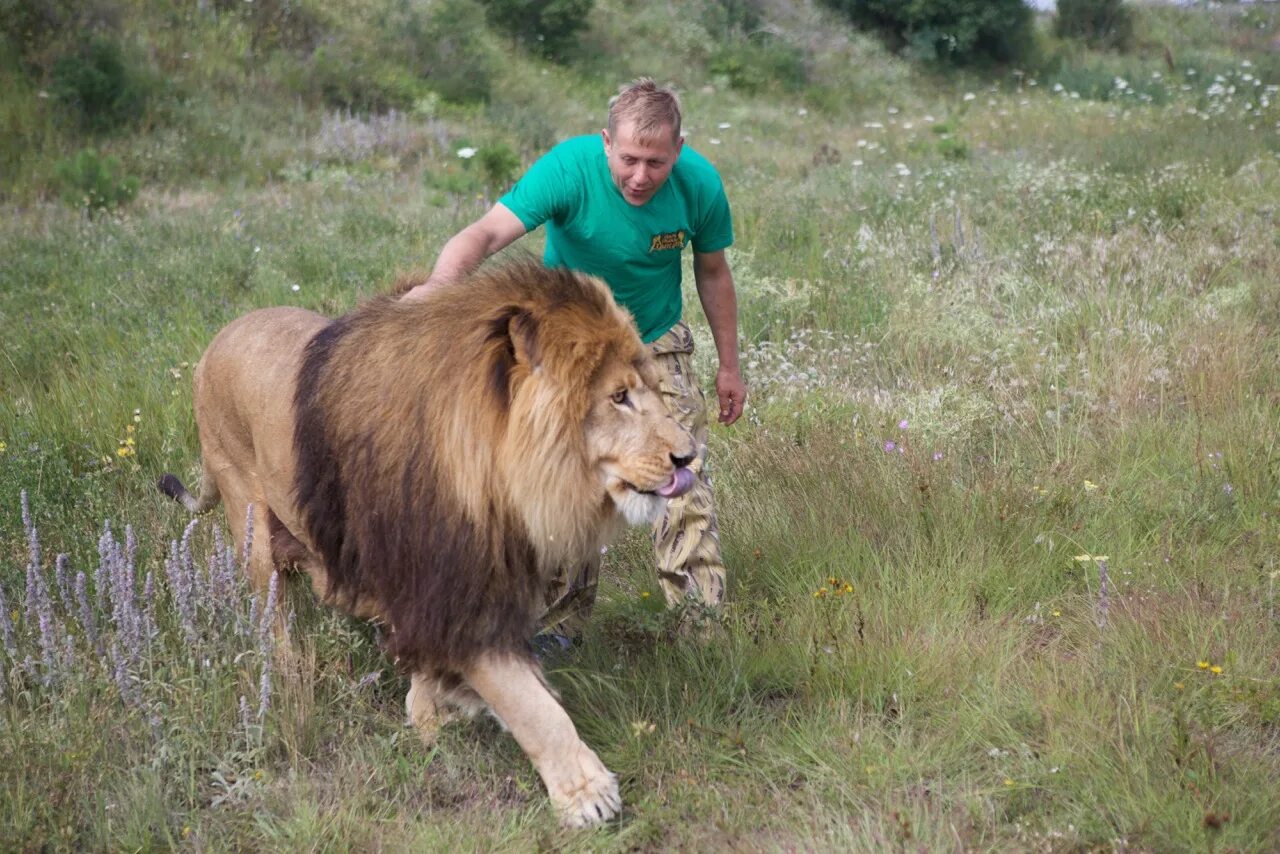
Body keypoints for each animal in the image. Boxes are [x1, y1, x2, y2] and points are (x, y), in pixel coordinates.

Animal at [163, 261, 701, 829]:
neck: (499, 481)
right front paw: (585, 794)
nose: (690, 456)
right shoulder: (457, 590)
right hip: (249, 521)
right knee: (273, 616)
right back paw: (289, 675)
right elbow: (532, 706)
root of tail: (214, 342)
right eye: (619, 397)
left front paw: (427, 714)